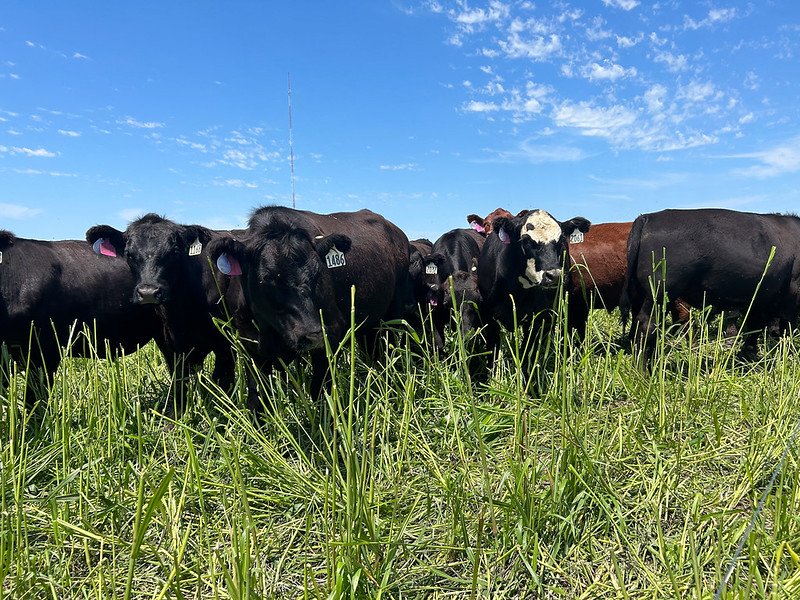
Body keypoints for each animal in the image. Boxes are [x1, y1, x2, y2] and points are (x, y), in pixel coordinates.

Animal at [86, 213, 252, 414]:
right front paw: (176, 415)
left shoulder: (225, 341)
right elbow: (179, 379)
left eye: (174, 251)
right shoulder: (169, 340)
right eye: (129, 254)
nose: (148, 292)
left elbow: (222, 380)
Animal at [206, 206, 410, 398]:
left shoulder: (331, 332)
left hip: (392, 317)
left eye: (318, 272)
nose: (312, 335)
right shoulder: (249, 344)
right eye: (268, 277)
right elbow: (257, 398)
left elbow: (321, 390)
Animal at [476, 209, 592, 364]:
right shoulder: (489, 317)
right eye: (526, 241)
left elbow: (528, 353)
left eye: (561, 240)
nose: (554, 275)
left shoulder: (538, 318)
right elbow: (492, 352)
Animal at [620, 206, 800, 366]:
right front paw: (787, 358)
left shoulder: (760, 299)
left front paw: (746, 356)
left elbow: (755, 326)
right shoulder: (791, 294)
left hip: (645, 296)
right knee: (647, 327)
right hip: (659, 293)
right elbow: (787, 328)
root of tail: (647, 217)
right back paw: (645, 372)